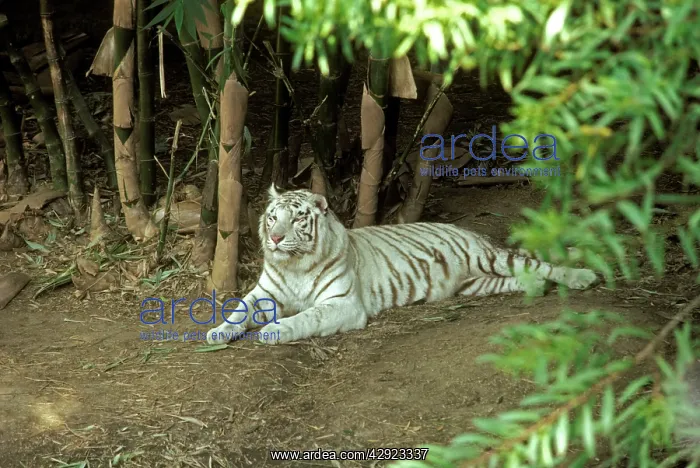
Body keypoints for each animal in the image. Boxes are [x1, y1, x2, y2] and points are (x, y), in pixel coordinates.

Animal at [206, 185, 599, 345]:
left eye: (297, 219)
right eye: (272, 218)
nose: (274, 238)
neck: (295, 266)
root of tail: (468, 229)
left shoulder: (343, 304)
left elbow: (308, 316)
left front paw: (275, 330)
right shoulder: (265, 292)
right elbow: (239, 309)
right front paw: (217, 332)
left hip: (490, 257)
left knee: (539, 264)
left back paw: (582, 277)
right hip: (476, 282)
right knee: (517, 278)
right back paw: (534, 288)